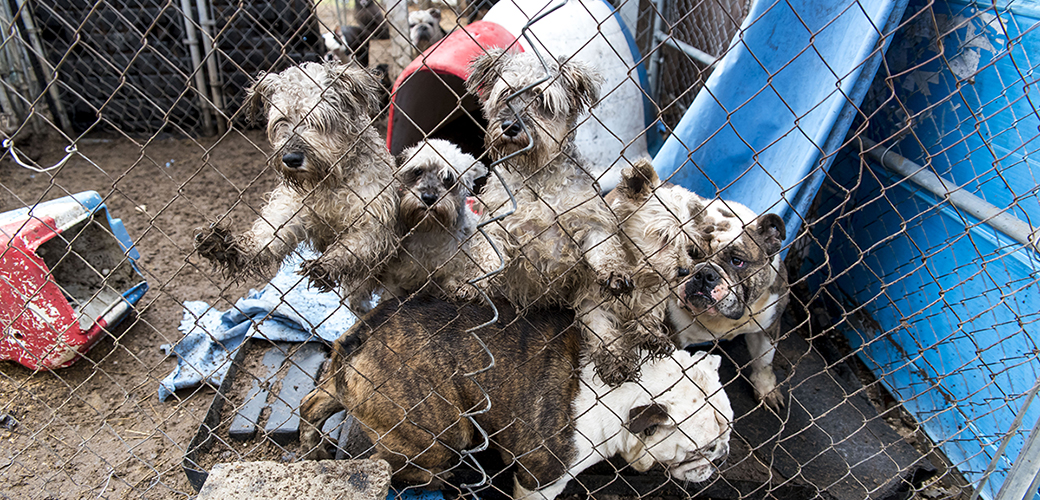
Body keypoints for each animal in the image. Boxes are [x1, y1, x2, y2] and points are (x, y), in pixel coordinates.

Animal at [195, 61, 397, 299]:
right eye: (282, 120)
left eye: (318, 120)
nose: (291, 159)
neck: (328, 182)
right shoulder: (290, 210)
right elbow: (267, 237)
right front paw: (229, 247)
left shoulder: (375, 223)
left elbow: (354, 245)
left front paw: (327, 264)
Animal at [301, 295, 732, 498]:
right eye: (703, 449)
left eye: (724, 438)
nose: (724, 456)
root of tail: (364, 335)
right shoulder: (541, 480)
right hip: (439, 432)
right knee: (393, 466)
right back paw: (440, 478)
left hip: (341, 382)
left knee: (313, 405)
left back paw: (313, 447)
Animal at [465, 48, 669, 384]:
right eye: (506, 94)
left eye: (542, 101)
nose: (510, 126)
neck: (537, 175)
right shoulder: (495, 222)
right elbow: (487, 255)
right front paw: (474, 282)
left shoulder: (591, 222)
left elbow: (605, 251)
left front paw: (614, 271)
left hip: (590, 297)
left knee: (602, 326)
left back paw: (617, 359)